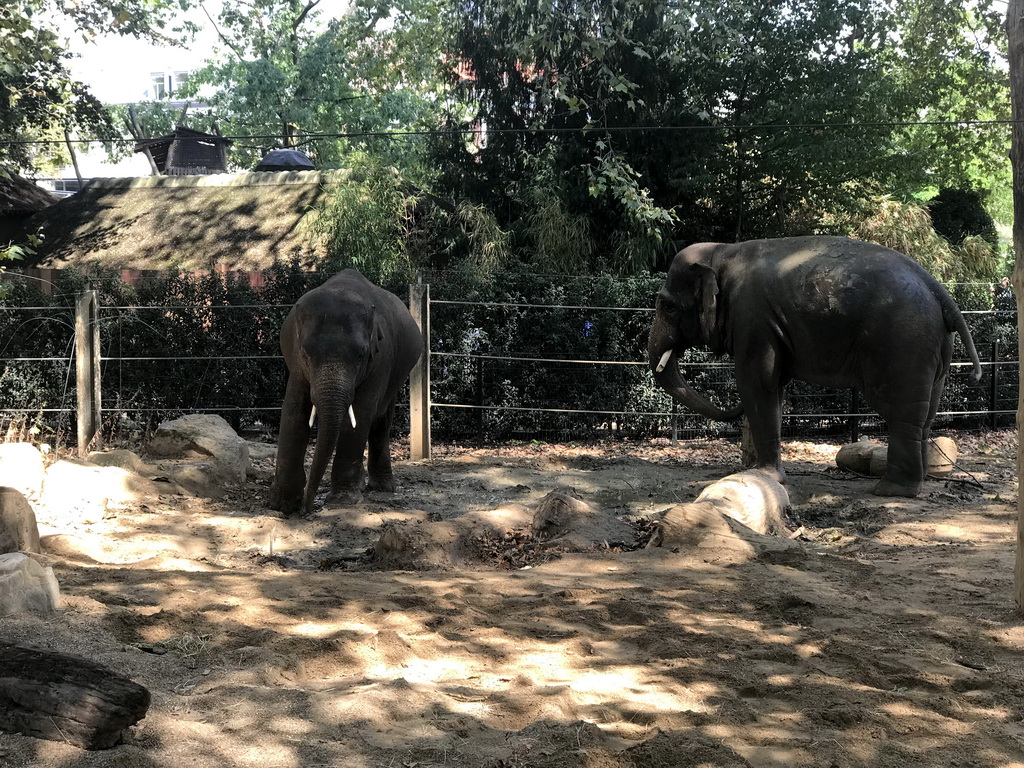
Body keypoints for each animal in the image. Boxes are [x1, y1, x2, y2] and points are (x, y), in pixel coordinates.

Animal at [270, 270, 421, 518]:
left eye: (361, 355)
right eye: (306, 354)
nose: (306, 510)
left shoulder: (380, 360)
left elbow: (362, 411)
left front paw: (343, 501)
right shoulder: (295, 362)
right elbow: (293, 410)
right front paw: (282, 505)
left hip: (397, 375)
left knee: (380, 421)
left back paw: (383, 487)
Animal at [647, 234, 983, 499]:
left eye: (667, 306)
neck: (723, 251)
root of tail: (941, 292)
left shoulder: (753, 320)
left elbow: (757, 382)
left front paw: (764, 476)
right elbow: (774, 387)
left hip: (903, 343)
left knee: (901, 413)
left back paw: (892, 491)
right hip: (934, 348)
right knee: (925, 415)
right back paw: (917, 482)